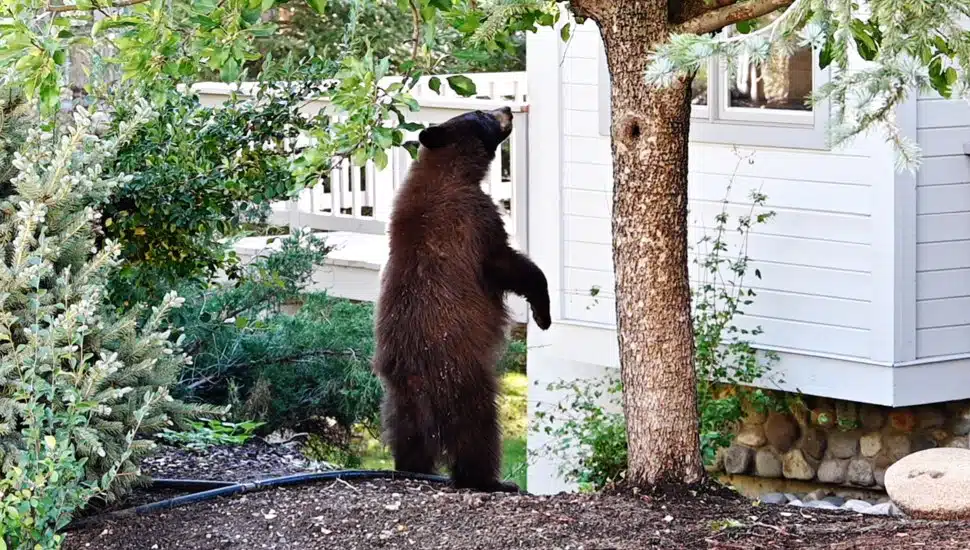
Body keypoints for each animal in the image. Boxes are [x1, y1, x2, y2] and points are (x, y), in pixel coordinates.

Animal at [372, 106, 551, 493]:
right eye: (480, 113)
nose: (507, 108)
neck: (449, 170)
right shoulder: (474, 219)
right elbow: (507, 264)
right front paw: (542, 313)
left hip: (396, 400)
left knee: (406, 437)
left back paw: (412, 468)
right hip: (463, 382)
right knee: (478, 433)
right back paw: (492, 481)